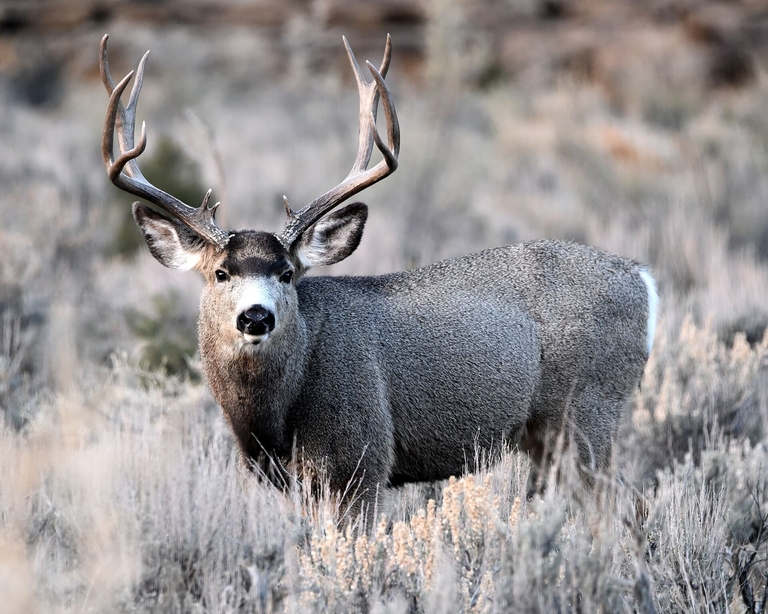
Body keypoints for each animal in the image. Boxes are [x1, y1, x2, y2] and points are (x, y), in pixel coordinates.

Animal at [100, 34, 658, 522]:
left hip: (589, 408)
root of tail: (642, 278)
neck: (274, 415)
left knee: (621, 508)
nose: (255, 317)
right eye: (220, 272)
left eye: (287, 273)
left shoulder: (361, 457)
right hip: (551, 434)